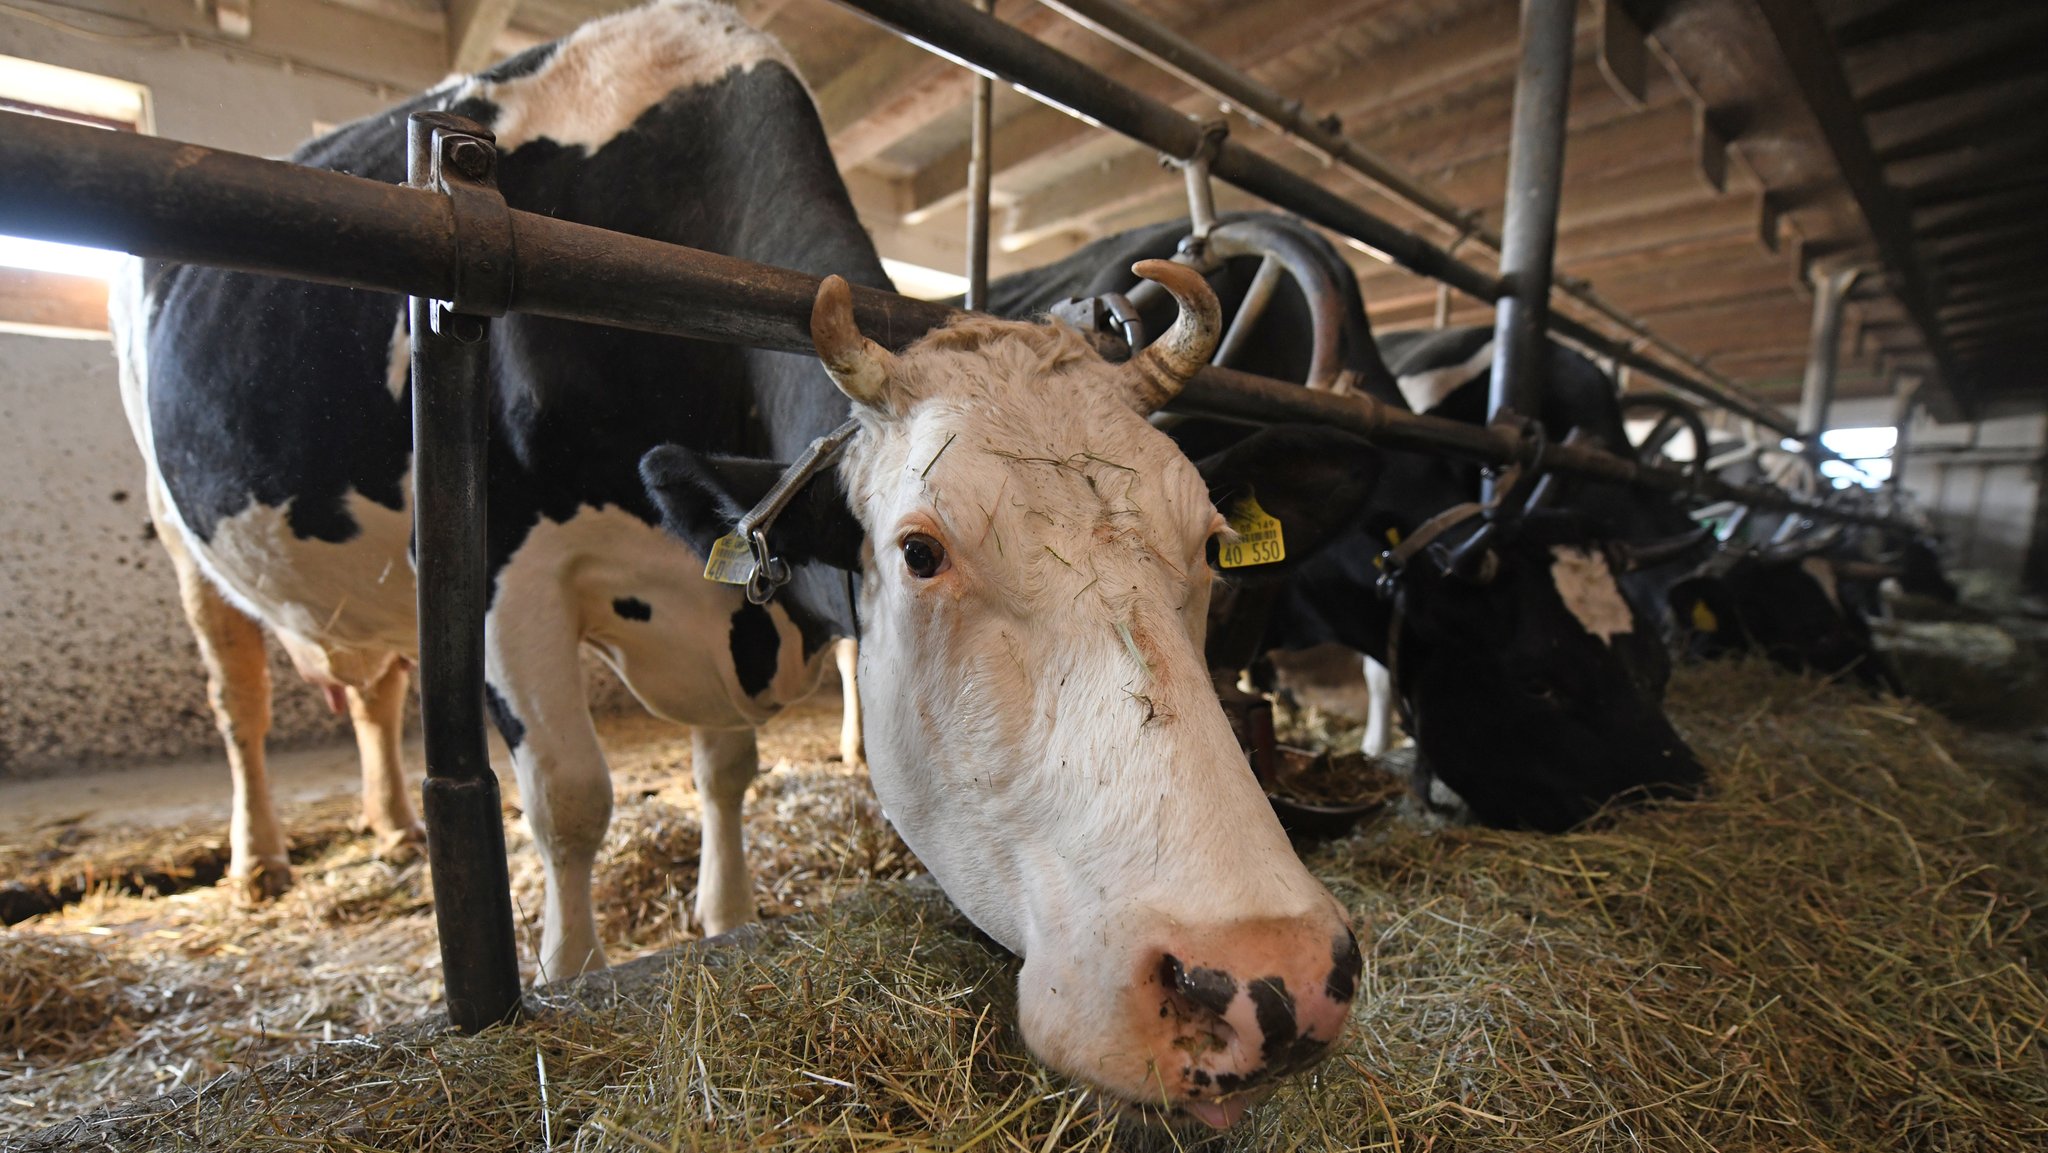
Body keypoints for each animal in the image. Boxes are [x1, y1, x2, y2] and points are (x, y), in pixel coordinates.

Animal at [112, 2, 1368, 1130]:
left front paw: (723, 915)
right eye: (920, 552)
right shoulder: (497, 568)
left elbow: (727, 767)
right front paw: (566, 973)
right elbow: (570, 797)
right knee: (240, 695)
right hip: (187, 540)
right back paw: (264, 862)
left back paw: (389, 827)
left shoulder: (728, 602)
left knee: (370, 690)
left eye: (1208, 545)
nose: (1266, 980)